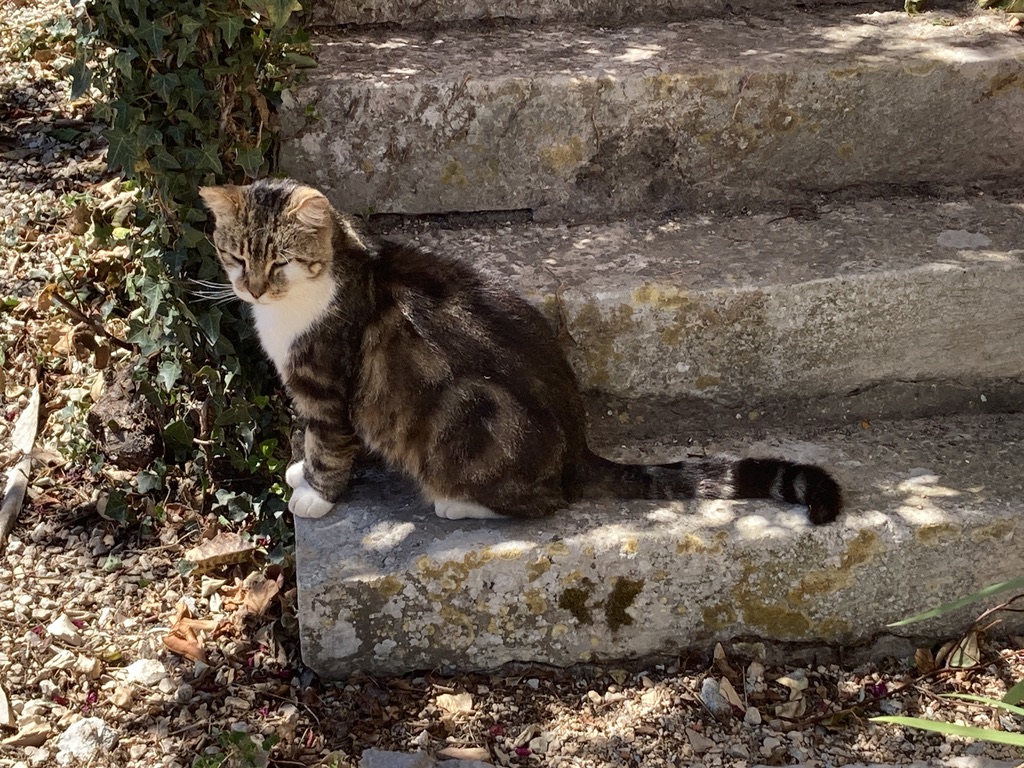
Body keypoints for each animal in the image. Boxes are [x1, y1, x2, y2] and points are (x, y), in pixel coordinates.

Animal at [197, 180, 839, 528]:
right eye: (236, 256)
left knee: (546, 501)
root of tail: (578, 449)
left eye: (279, 261)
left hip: (469, 415)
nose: (253, 288)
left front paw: (315, 494)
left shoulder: (326, 385)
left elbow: (327, 443)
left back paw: (458, 504)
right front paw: (300, 471)